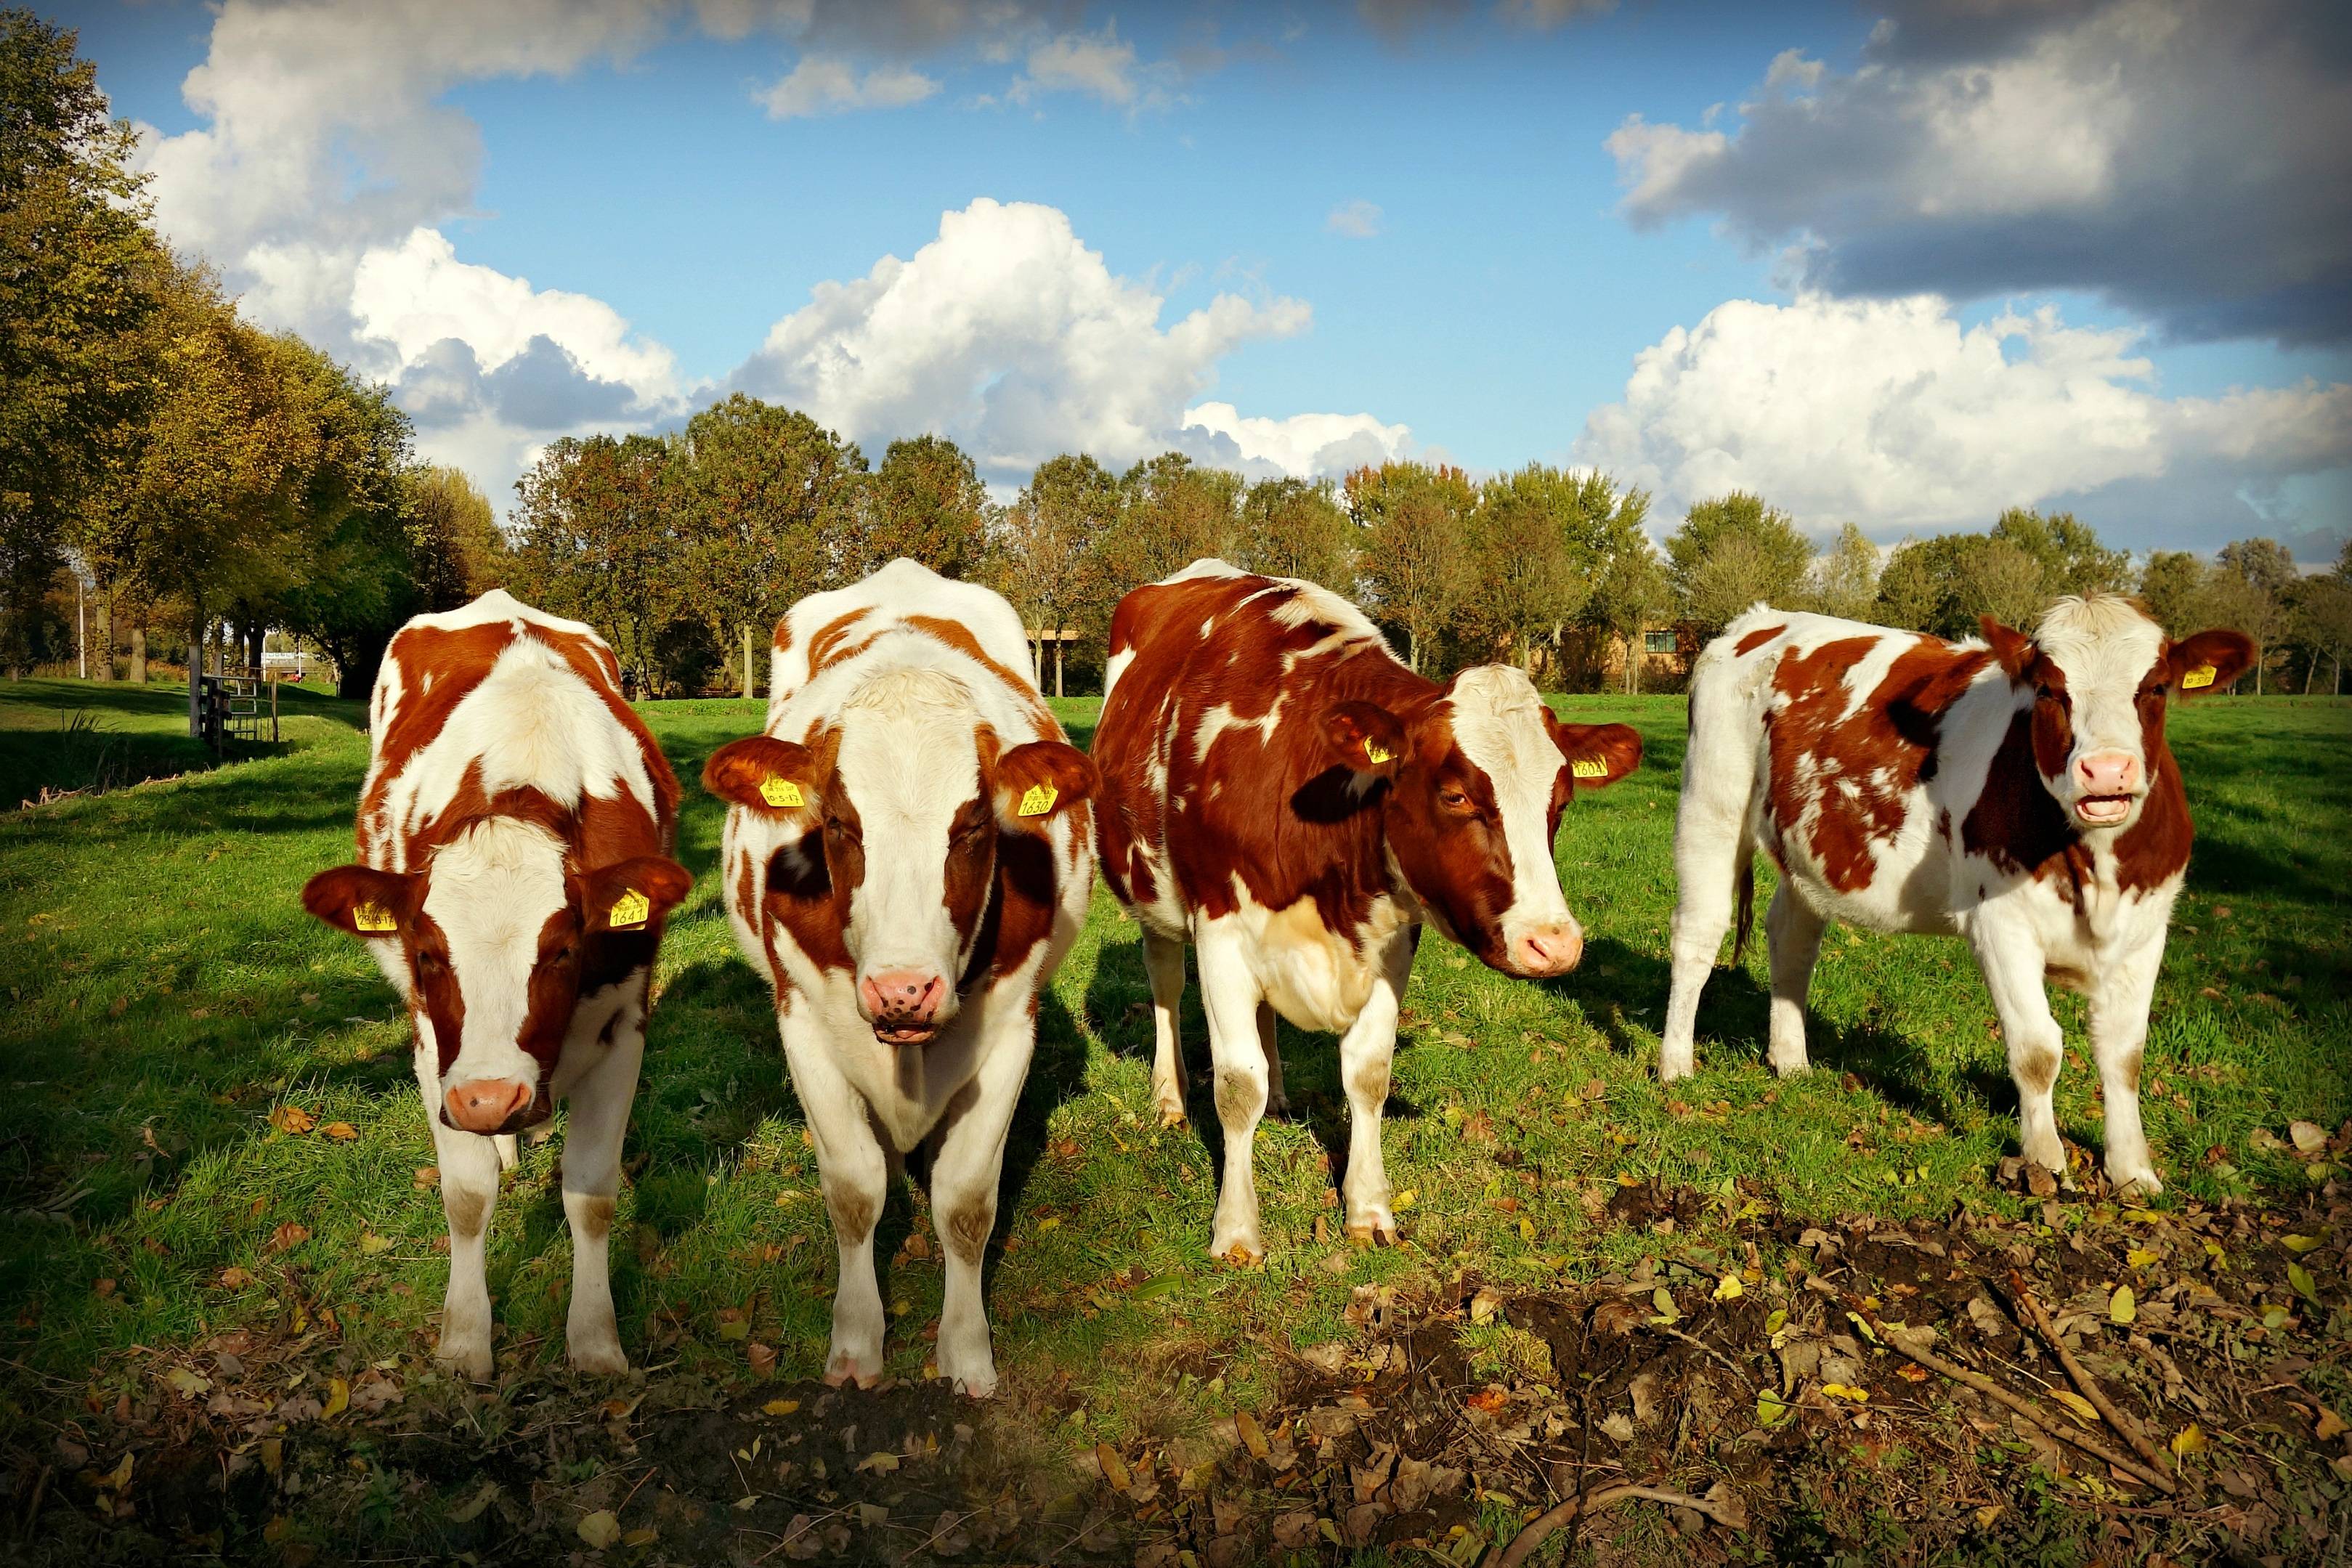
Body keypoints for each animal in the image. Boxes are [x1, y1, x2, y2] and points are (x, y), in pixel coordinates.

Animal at [303, 594, 686, 1382]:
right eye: (425, 951)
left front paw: (595, 1340)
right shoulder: (433, 1050)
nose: (488, 1100)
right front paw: (463, 1338)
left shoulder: (624, 1027)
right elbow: (467, 1194)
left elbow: (590, 1193)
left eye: (564, 948)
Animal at [700, 564, 1095, 1401]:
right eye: (840, 824)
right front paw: (856, 1340)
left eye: (973, 825)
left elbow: (967, 1202)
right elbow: (854, 1191)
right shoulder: (803, 1023)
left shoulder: (1012, 1029)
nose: (903, 990)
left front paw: (966, 1348)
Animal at [1095, 564, 1637, 1259]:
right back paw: (1168, 1096)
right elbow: (1237, 1086)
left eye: (1561, 801)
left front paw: (1369, 1207)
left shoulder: (1391, 940)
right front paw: (1237, 1230)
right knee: (1165, 980)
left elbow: (1369, 1074)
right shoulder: (1220, 929)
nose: (1555, 943)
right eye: (1455, 794)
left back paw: (1281, 1099)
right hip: (1151, 893)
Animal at [1665, 594, 2248, 1194]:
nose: (2106, 771)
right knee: (1697, 937)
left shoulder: (2146, 929)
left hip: (1809, 846)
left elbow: (2124, 1053)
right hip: (1711, 804)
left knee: (1792, 939)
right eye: (2048, 689)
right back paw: (1677, 1064)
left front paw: (2133, 1170)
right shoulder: (2001, 924)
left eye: (2156, 687)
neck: (2097, 865)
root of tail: (1757, 619)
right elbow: (2037, 1049)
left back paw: (1791, 1060)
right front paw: (2044, 1161)